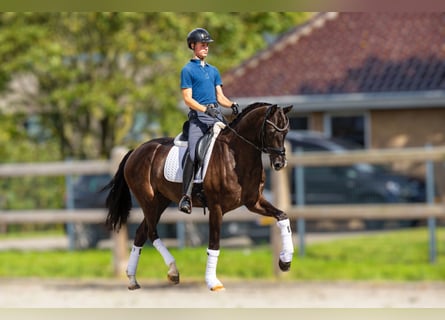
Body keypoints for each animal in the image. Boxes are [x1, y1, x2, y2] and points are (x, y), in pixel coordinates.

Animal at [102, 101, 294, 292]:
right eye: (271, 131)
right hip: (148, 201)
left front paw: (285, 261)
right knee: (151, 232)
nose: (279, 163)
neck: (236, 155)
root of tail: (136, 150)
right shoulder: (216, 208)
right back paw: (172, 271)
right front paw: (212, 282)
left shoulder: (254, 202)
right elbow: (214, 245)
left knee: (141, 233)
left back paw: (133, 280)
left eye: (286, 132)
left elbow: (283, 217)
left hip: (160, 202)